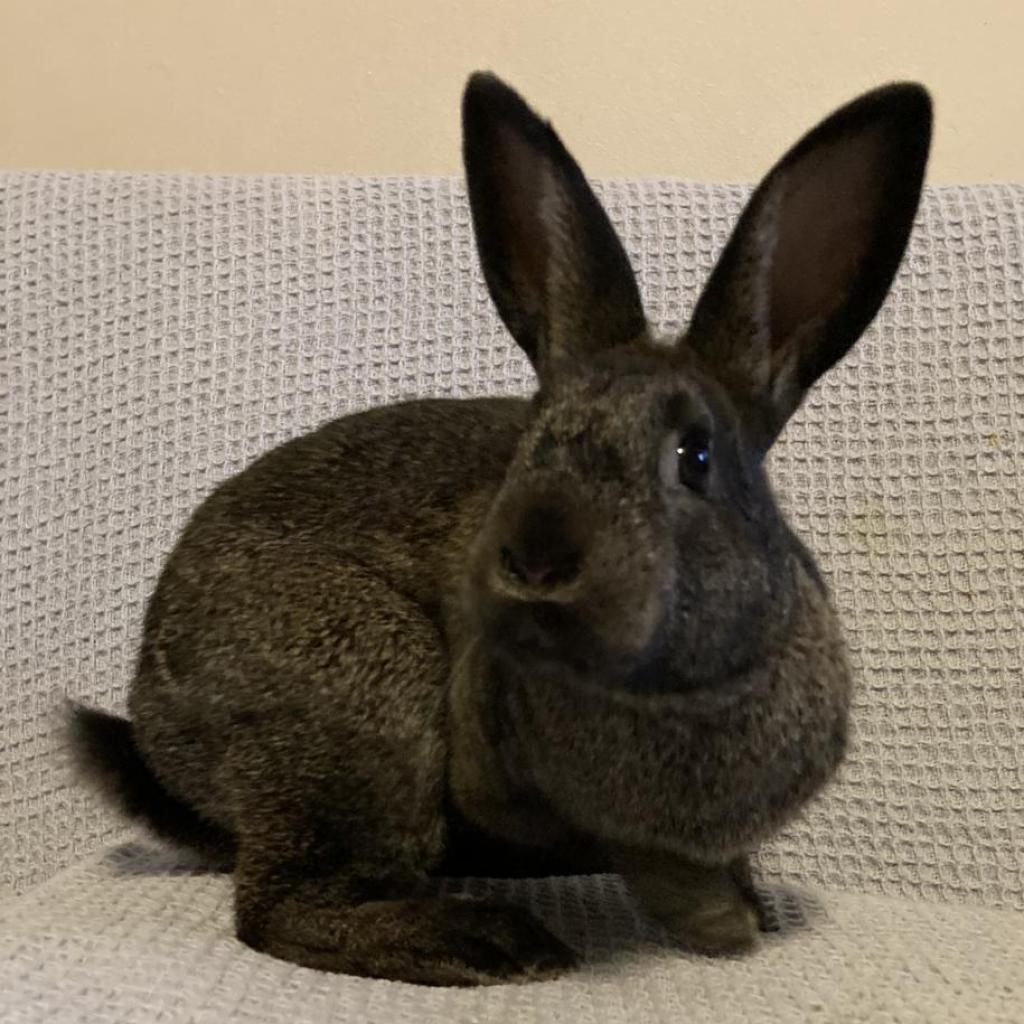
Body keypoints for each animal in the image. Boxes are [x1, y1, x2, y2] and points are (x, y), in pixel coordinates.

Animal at [68, 71, 932, 986]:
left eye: (695, 457)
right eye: (528, 442)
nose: (537, 557)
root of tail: (152, 709)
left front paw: (747, 914)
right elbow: (658, 870)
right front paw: (722, 927)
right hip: (362, 688)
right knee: (281, 908)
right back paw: (487, 940)